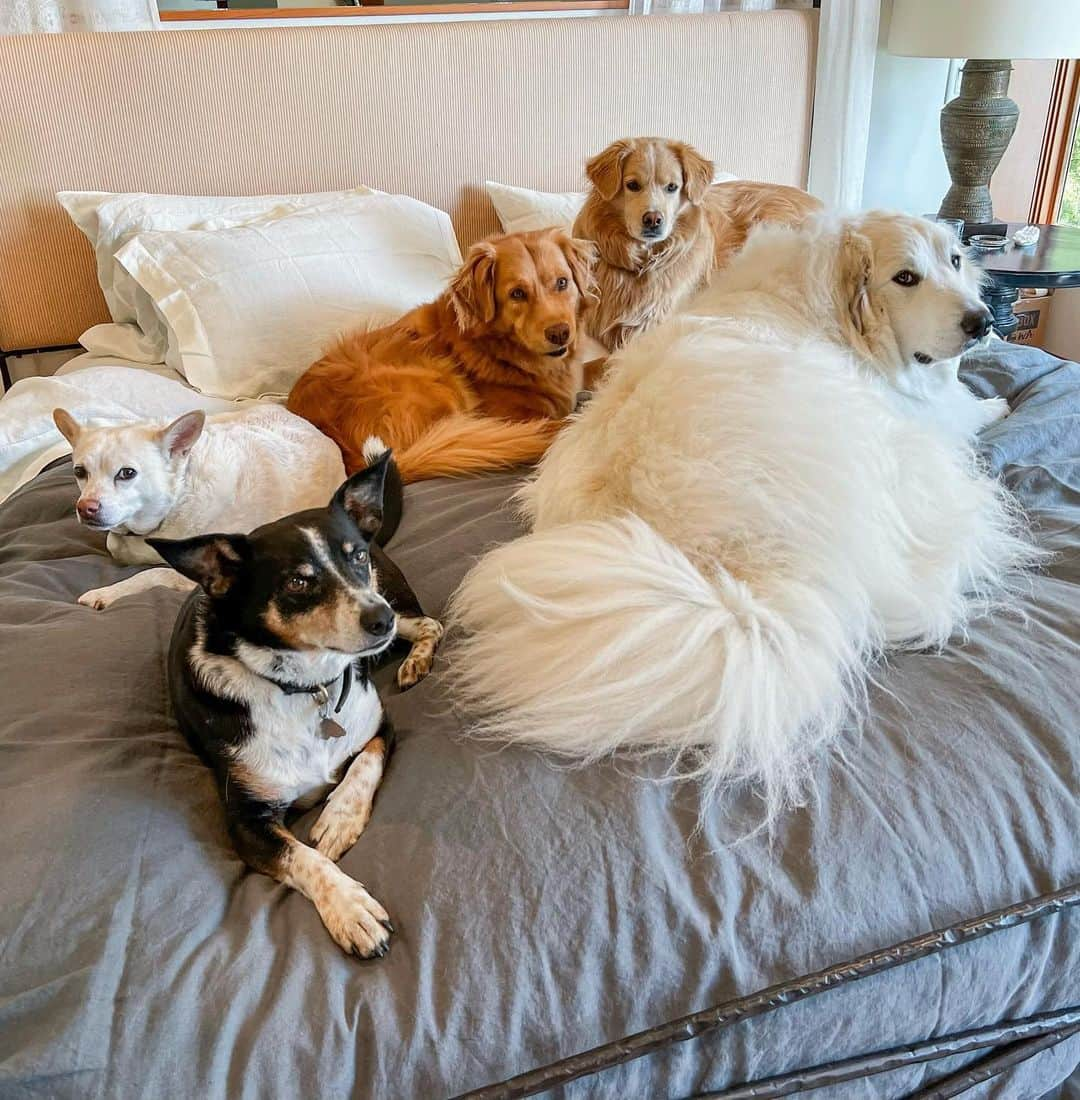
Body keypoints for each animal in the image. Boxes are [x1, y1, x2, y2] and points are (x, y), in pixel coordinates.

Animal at [52, 404, 347, 611]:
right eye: (79, 472)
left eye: (127, 473)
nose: (85, 508)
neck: (177, 498)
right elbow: (118, 545)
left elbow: (152, 573)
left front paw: (107, 593)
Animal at [151, 451, 439, 959]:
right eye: (299, 582)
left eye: (356, 557)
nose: (379, 618)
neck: (306, 686)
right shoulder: (246, 822)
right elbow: (302, 857)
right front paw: (351, 909)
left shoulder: (380, 726)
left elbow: (364, 764)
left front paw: (339, 820)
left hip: (395, 602)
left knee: (430, 625)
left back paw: (415, 662)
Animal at [444, 212, 1042, 818]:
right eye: (905, 278)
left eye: (955, 261)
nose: (983, 321)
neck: (825, 297)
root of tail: (735, 575)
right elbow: (963, 408)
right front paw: (997, 404)